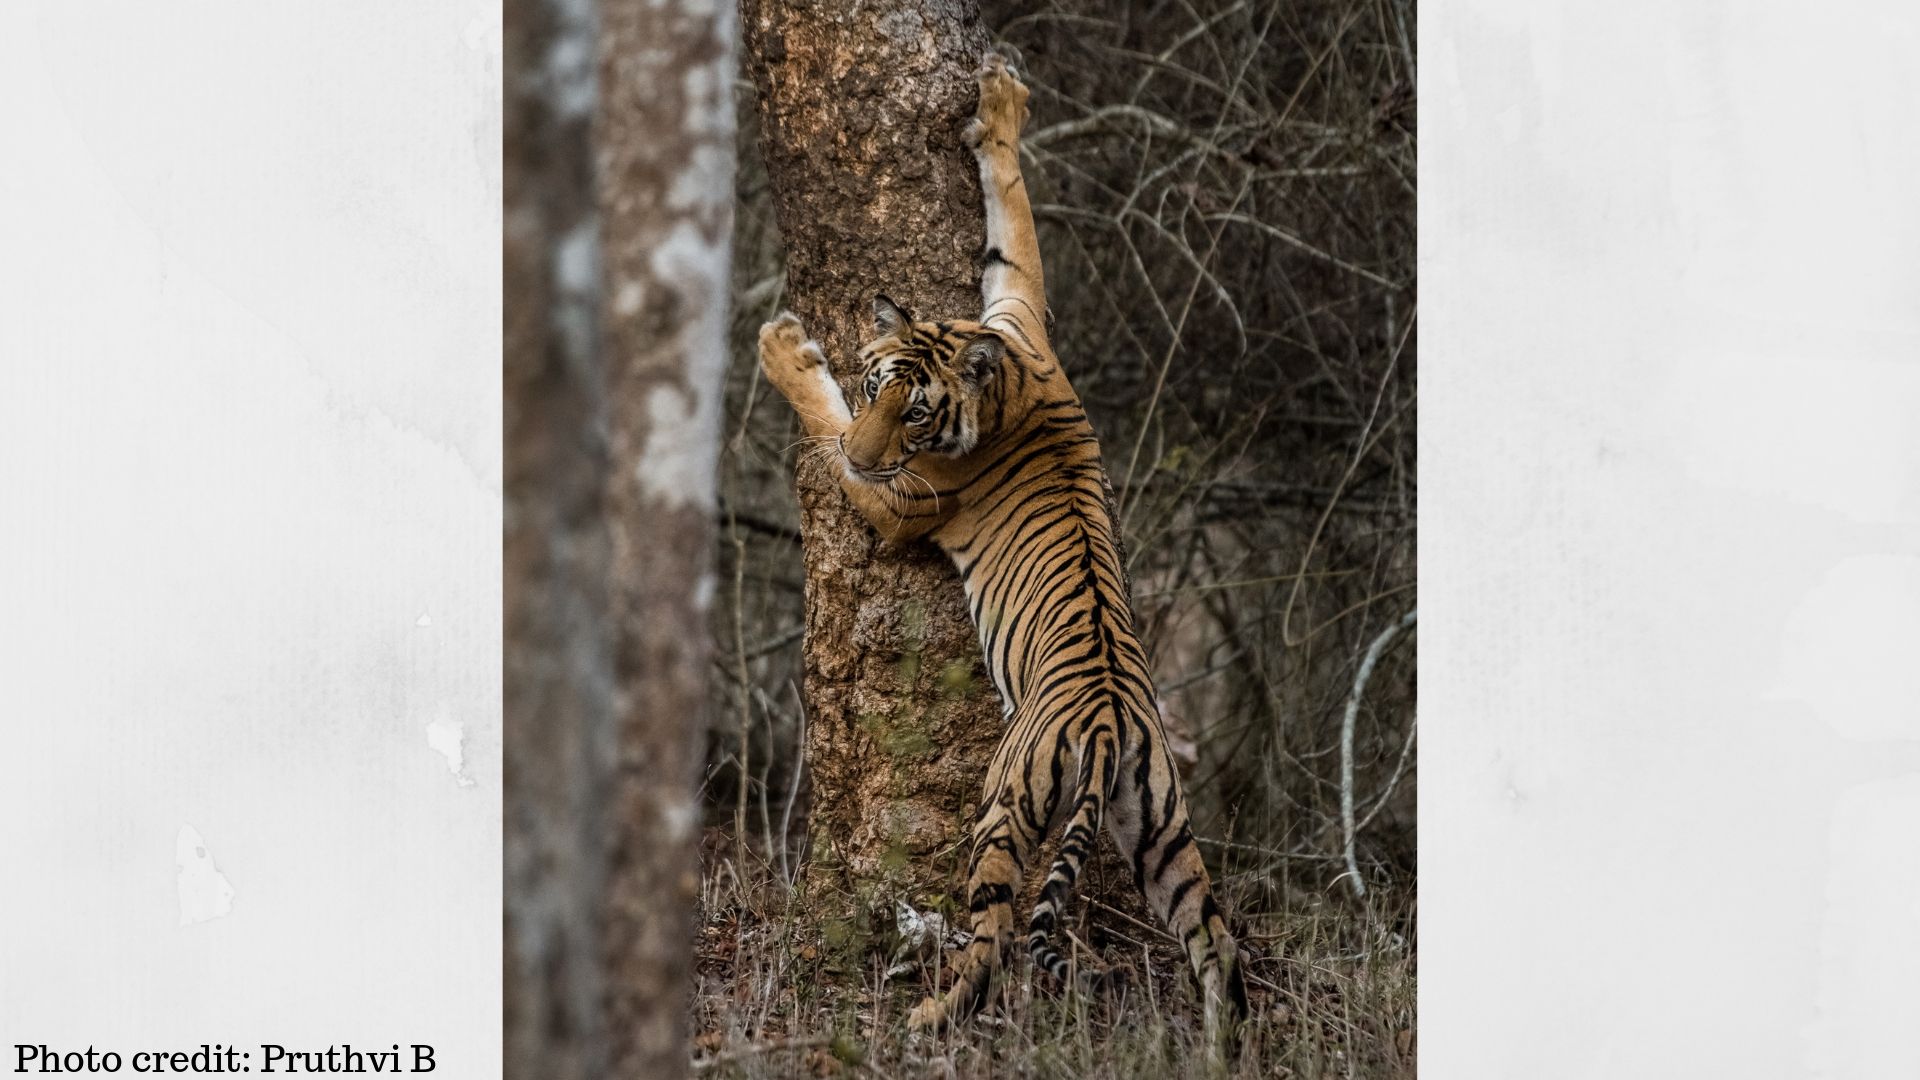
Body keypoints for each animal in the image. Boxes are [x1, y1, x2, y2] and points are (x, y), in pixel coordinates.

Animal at [756, 54, 1247, 1050]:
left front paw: (784, 347)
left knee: (995, 938)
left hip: (1006, 805)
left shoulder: (899, 496)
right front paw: (1001, 107)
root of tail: (1108, 727)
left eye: (909, 413)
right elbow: (1014, 223)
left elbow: (826, 429)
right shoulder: (1018, 302)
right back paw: (1225, 1048)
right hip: (1164, 832)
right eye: (877, 382)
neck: (1005, 382)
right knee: (1215, 940)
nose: (876, 441)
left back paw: (928, 1015)